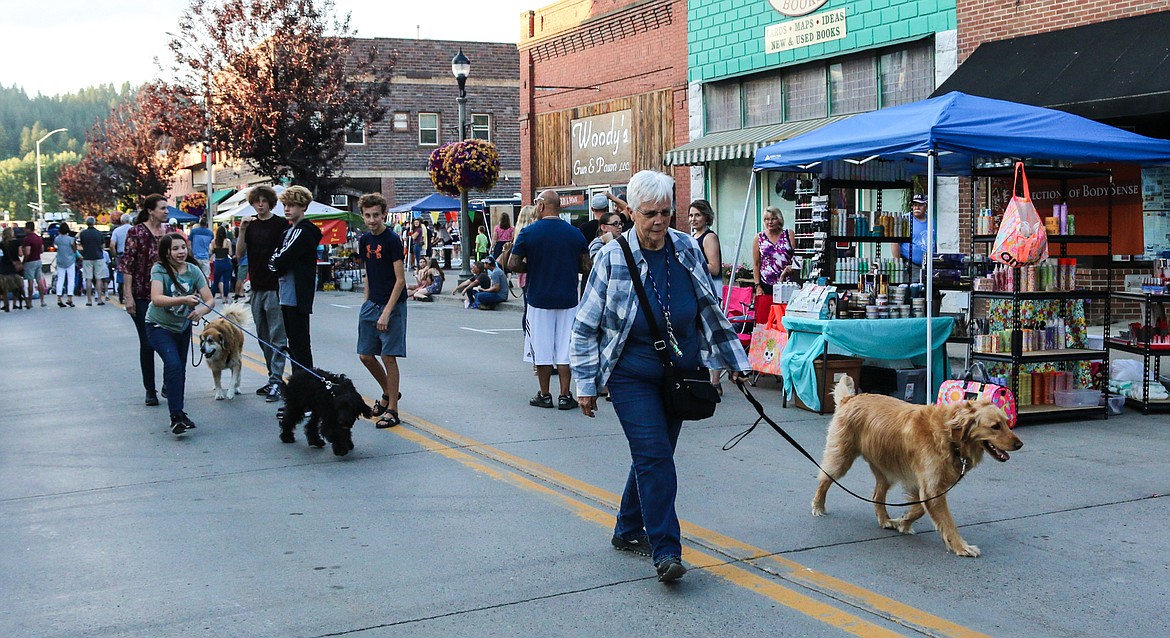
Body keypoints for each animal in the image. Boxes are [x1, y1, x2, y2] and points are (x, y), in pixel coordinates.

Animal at [814, 374, 1024, 554]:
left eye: (1007, 423)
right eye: (995, 426)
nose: (1020, 444)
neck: (949, 437)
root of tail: (850, 399)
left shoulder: (926, 485)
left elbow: (919, 508)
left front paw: (903, 522)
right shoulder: (931, 488)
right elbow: (946, 521)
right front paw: (961, 547)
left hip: (886, 470)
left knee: (876, 495)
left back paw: (885, 519)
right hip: (841, 458)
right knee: (824, 480)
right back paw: (818, 506)